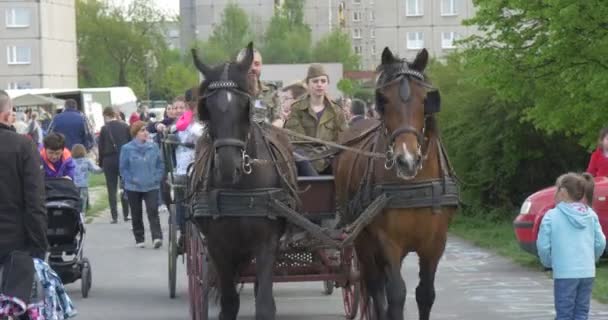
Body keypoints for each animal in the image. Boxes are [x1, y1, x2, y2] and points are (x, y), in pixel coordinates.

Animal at [188, 43, 296, 320]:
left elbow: (265, 304)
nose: (229, 166)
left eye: (244, 106)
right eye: (208, 108)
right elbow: (229, 303)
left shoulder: (267, 244)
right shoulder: (218, 247)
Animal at [334, 48, 458, 320]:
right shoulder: (387, 241)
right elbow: (396, 295)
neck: (413, 184)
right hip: (361, 240)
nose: (407, 160)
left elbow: (425, 294)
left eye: (425, 100)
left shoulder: (435, 242)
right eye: (384, 101)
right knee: (374, 286)